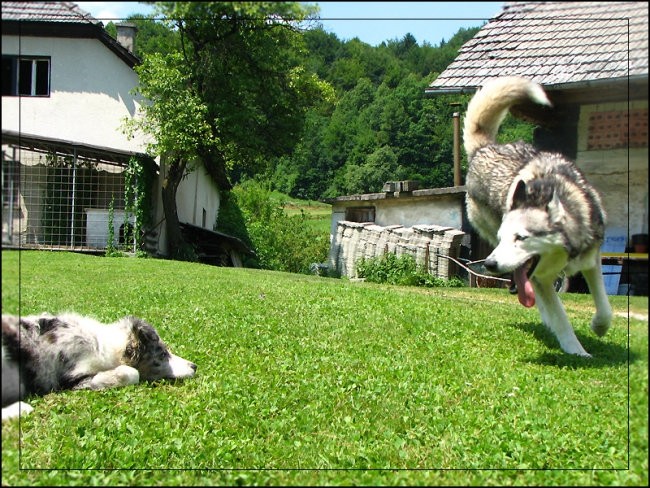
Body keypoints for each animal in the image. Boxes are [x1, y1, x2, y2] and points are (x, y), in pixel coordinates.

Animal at [464, 77, 612, 358]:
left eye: (521, 238)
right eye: (503, 238)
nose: (489, 264)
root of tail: (486, 148)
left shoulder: (591, 258)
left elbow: (604, 304)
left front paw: (599, 326)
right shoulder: (541, 279)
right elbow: (561, 316)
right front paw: (576, 350)